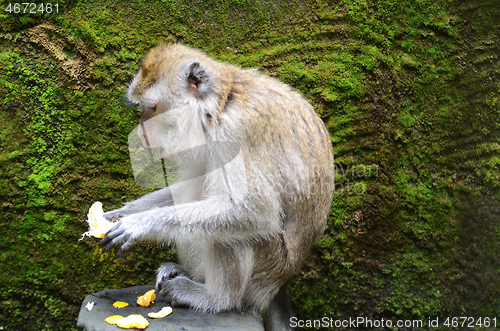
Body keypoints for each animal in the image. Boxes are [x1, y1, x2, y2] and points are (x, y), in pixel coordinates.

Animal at [100, 44, 336, 331]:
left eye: (152, 107)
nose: (142, 132)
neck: (218, 106)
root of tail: (283, 282)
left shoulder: (232, 134)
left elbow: (257, 212)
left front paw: (140, 224)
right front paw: (118, 214)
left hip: (266, 268)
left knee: (232, 230)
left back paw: (216, 298)